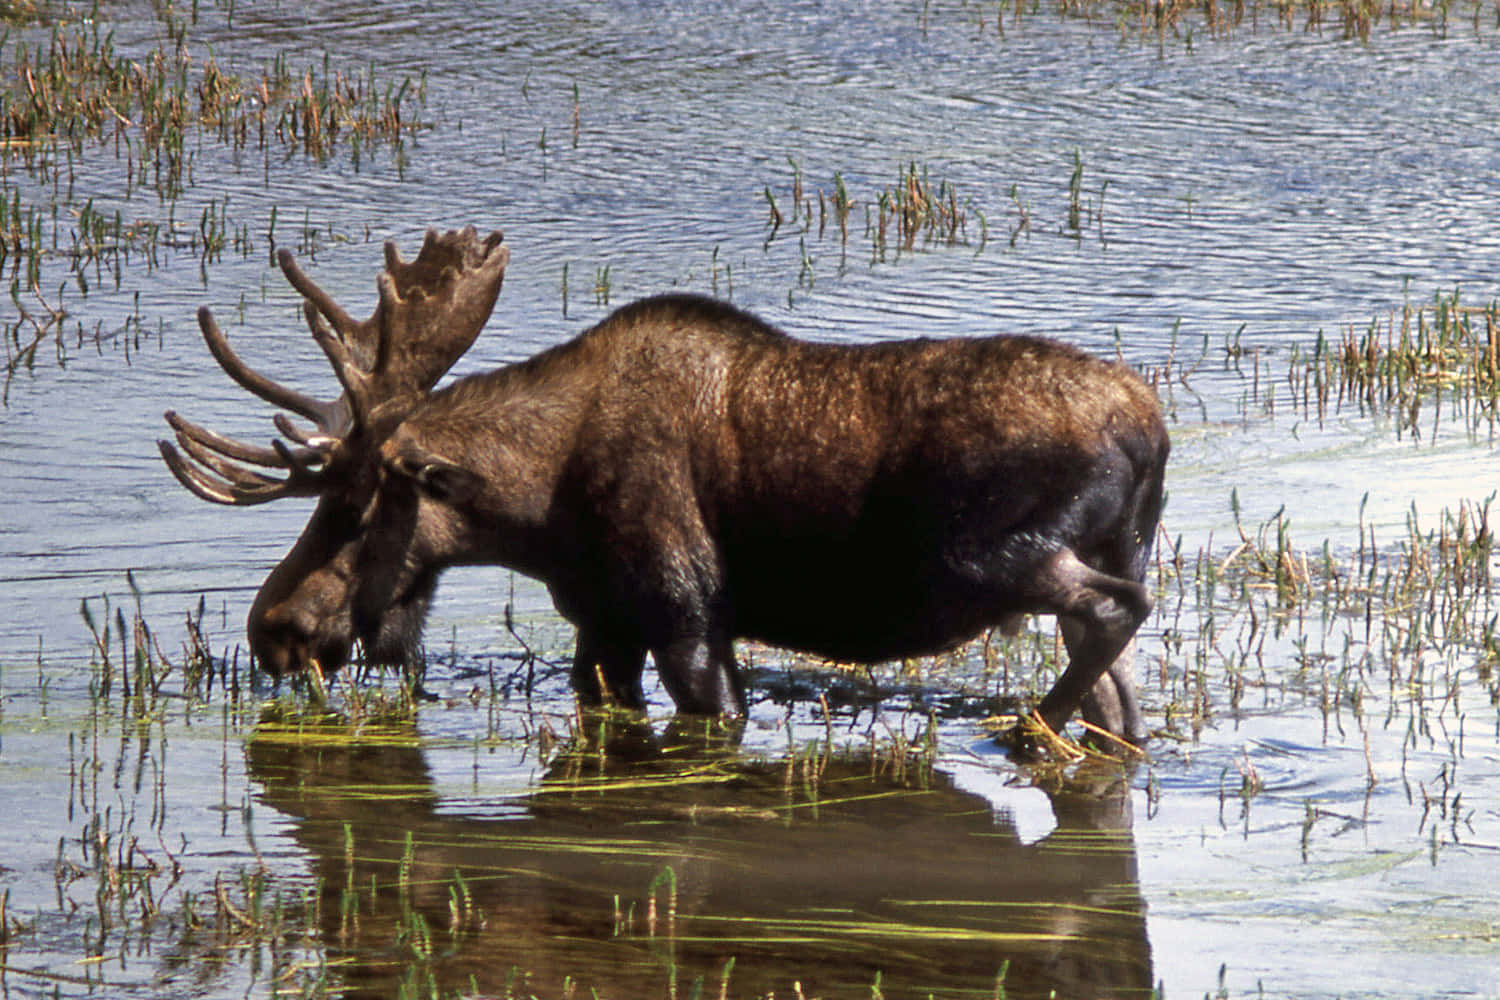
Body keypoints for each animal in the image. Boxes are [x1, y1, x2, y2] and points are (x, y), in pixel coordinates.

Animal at [164, 226, 1170, 743]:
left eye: (354, 504)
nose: (273, 630)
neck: (538, 509)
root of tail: (1151, 431)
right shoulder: (602, 623)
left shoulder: (684, 610)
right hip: (1097, 546)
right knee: (1121, 686)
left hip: (992, 553)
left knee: (1116, 609)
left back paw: (1026, 728)